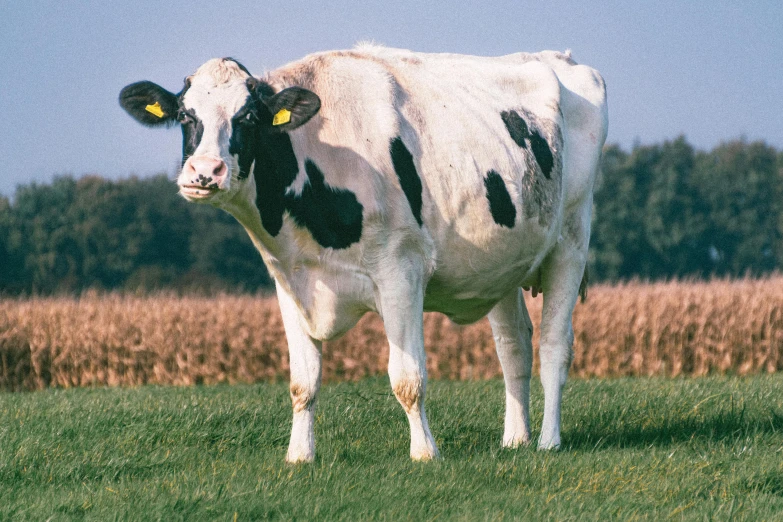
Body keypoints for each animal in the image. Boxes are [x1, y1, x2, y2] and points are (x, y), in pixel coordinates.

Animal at [119, 44, 608, 460]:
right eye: (186, 115)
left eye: (250, 116)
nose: (205, 171)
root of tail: (561, 57)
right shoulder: (290, 280)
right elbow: (302, 382)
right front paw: (300, 455)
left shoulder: (401, 271)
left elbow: (408, 379)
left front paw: (425, 453)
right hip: (502, 265)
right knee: (514, 349)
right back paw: (514, 440)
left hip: (570, 241)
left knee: (554, 346)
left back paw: (547, 441)